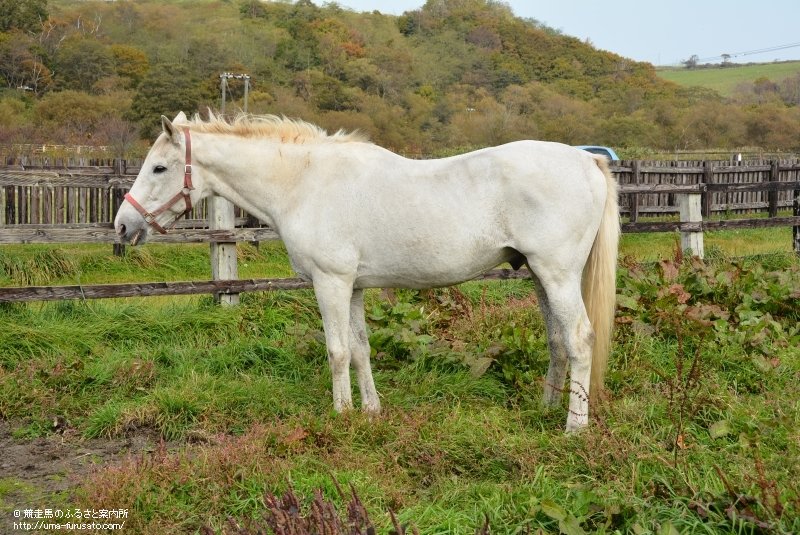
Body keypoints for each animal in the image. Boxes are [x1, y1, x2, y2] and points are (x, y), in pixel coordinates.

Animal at [117, 112, 620, 432]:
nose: (123, 226)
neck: (304, 183)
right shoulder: (354, 287)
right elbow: (361, 350)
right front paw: (371, 412)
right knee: (557, 341)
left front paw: (341, 417)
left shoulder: (331, 283)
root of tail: (586, 159)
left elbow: (337, 351)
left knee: (579, 339)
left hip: (557, 275)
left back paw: (574, 427)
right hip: (539, 276)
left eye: (159, 167)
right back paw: (546, 409)